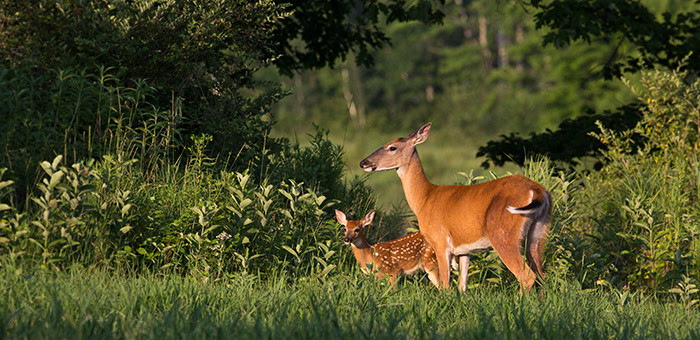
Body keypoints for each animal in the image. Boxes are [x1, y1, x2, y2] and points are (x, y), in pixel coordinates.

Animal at [360, 122, 552, 292]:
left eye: (392, 147)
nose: (364, 162)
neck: (424, 199)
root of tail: (537, 191)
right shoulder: (464, 250)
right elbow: (462, 286)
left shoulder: (439, 240)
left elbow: (445, 285)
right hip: (538, 233)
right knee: (541, 277)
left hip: (503, 234)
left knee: (527, 277)